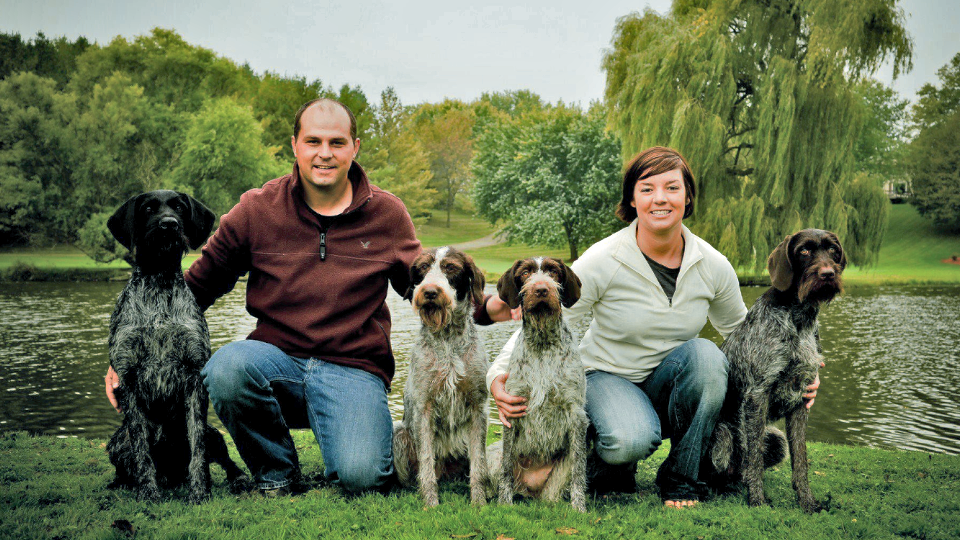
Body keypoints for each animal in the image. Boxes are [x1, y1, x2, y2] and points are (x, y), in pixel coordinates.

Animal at [106, 190, 248, 502]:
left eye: (180, 207)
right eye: (148, 208)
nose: (168, 224)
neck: (159, 285)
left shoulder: (194, 376)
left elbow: (197, 450)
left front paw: (200, 491)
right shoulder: (129, 378)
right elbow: (142, 452)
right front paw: (148, 492)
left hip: (214, 434)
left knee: (224, 460)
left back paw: (237, 479)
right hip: (116, 443)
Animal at [392, 247, 492, 508]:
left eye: (451, 268)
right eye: (423, 268)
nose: (430, 292)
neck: (447, 337)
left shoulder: (478, 407)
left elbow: (479, 464)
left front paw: (479, 502)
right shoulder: (424, 408)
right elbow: (426, 462)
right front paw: (431, 503)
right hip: (399, 436)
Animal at [488, 258, 584, 510]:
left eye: (553, 271)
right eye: (525, 273)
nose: (541, 289)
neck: (543, 342)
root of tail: (530, 490)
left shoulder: (576, 413)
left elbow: (579, 473)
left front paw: (580, 509)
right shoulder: (512, 410)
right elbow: (506, 471)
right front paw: (504, 504)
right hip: (491, 455)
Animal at [704, 229, 848, 516]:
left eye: (833, 250)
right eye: (804, 250)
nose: (828, 274)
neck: (799, 318)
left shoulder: (801, 399)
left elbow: (801, 460)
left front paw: (807, 501)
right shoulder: (757, 395)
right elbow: (754, 457)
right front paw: (757, 501)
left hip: (777, 438)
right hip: (722, 437)